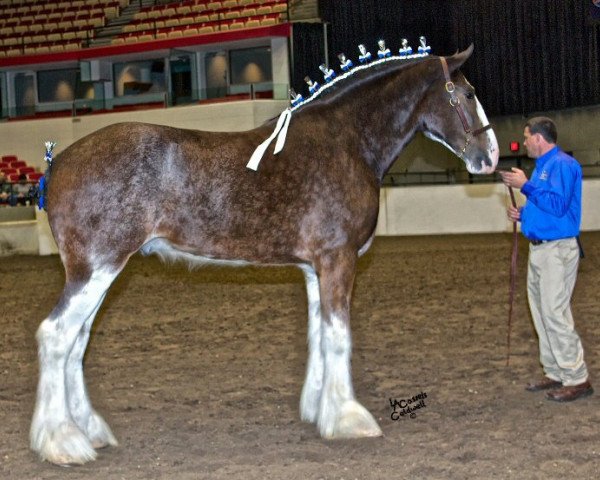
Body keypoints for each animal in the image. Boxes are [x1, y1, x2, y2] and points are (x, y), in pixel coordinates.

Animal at [30, 45, 500, 464]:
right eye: (468, 94)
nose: (490, 156)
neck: (345, 141)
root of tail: (58, 163)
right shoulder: (338, 259)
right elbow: (339, 337)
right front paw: (349, 419)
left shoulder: (315, 268)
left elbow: (319, 335)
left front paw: (319, 411)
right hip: (96, 269)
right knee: (57, 337)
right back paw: (63, 442)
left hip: (99, 273)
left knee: (76, 342)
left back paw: (87, 429)